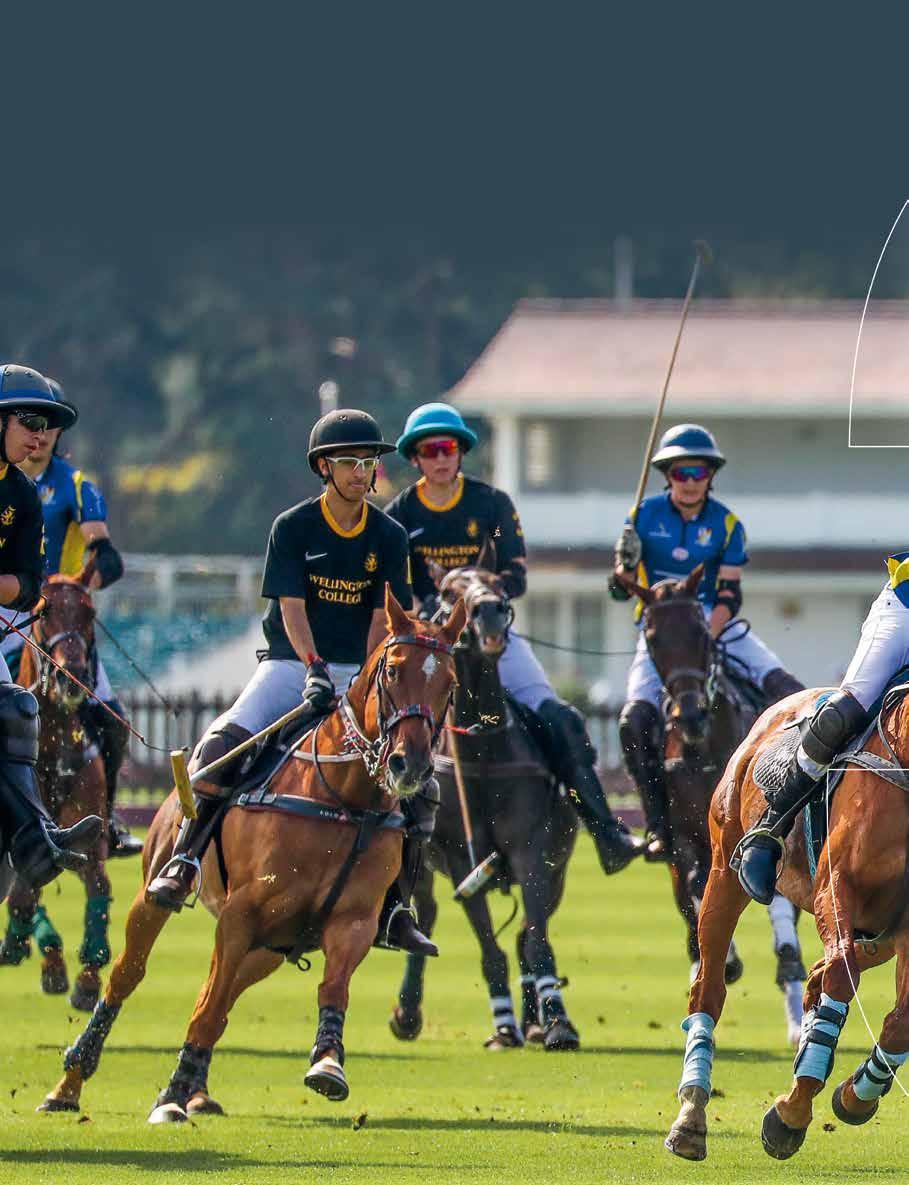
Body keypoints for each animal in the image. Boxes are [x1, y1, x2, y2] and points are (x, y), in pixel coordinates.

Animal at [40, 586, 465, 1120]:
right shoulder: (241, 915)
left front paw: (328, 1064)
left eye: (450, 682)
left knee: (217, 999)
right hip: (159, 894)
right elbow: (206, 1006)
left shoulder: (353, 921)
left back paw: (192, 1091)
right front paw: (170, 1098)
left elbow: (329, 988)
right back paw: (70, 1084)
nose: (410, 766)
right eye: (392, 670)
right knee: (130, 974)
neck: (345, 798)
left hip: (274, 945)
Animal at [389, 565, 580, 1051]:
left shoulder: (533, 854)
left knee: (526, 935)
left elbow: (535, 941)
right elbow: (489, 950)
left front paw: (557, 1023)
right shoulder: (462, 861)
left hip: (558, 873)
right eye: (447, 591)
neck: (485, 750)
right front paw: (504, 1027)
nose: (490, 613)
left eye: (499, 582)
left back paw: (536, 1020)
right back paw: (408, 1013)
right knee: (426, 915)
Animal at [617, 566, 806, 1042]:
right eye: (652, 638)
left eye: (703, 632)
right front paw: (724, 961)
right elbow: (698, 894)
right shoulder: (686, 840)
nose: (690, 716)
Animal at [665, 681, 909, 1162]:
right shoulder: (836, 885)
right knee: (709, 988)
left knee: (820, 973)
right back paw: (691, 1117)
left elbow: (901, 1019)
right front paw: (791, 1114)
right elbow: (841, 977)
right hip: (724, 866)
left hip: (879, 933)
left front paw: (855, 1094)